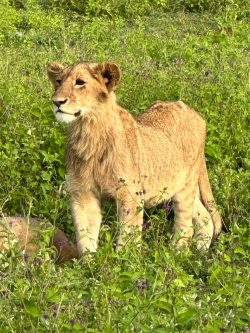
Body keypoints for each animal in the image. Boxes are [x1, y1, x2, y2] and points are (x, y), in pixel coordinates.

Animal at [47, 61, 223, 253]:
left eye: (80, 82)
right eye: (59, 81)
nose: (57, 102)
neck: (88, 132)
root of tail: (196, 114)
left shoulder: (130, 195)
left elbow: (127, 240)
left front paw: (121, 260)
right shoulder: (83, 194)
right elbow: (85, 239)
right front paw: (89, 261)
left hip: (186, 185)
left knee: (186, 227)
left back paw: (176, 255)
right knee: (205, 218)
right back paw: (199, 253)